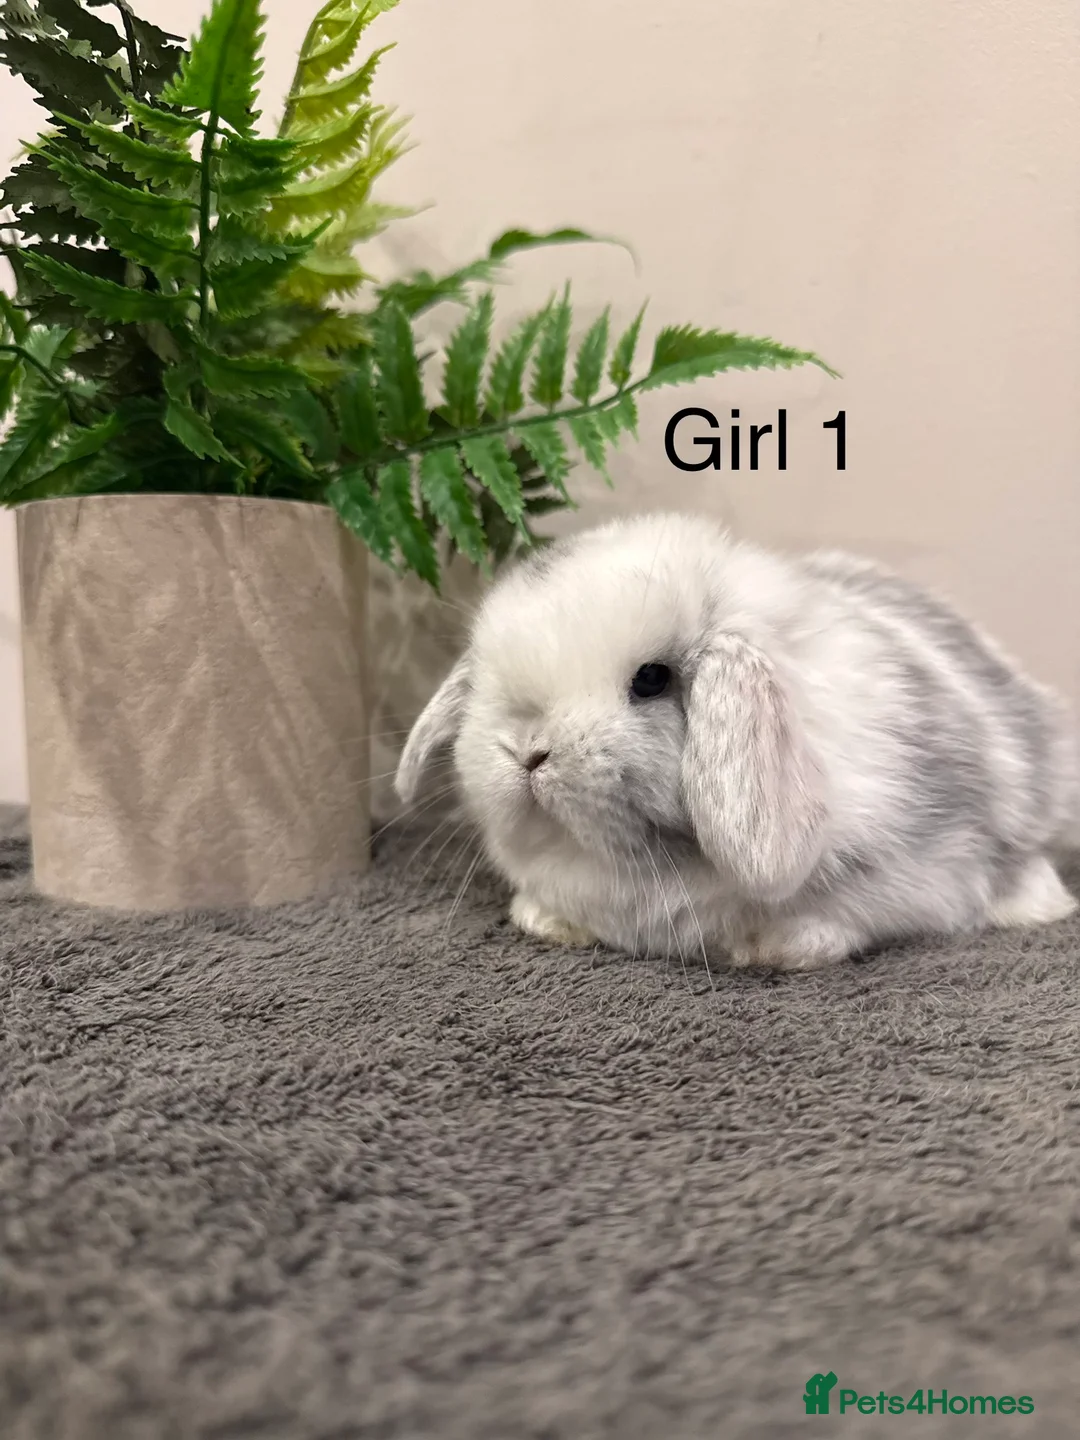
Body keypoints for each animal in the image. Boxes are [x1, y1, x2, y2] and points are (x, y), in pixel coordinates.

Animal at [394, 511, 1078, 971]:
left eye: (652, 679)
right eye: (485, 674)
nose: (527, 751)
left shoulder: (926, 870)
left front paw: (775, 947)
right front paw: (542, 920)